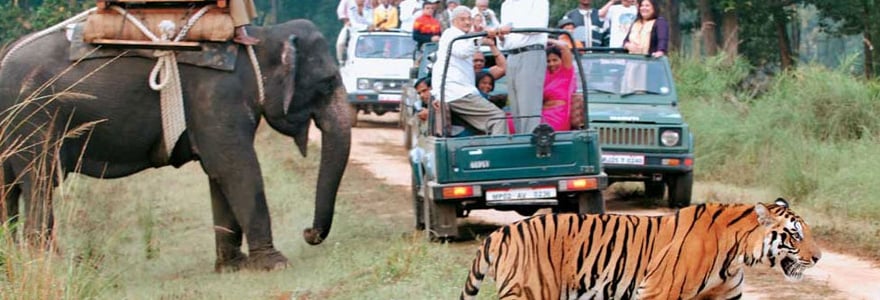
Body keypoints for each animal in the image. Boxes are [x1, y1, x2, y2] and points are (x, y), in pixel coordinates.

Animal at [0, 19, 350, 272]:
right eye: (328, 83)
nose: (308, 234)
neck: (260, 38)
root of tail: (6, 53)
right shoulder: (218, 96)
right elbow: (236, 168)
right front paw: (275, 265)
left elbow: (219, 173)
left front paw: (232, 267)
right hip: (36, 120)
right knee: (40, 181)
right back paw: (48, 265)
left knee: (9, 190)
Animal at [464, 198, 820, 298]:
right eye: (795, 235)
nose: (817, 257)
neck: (737, 255)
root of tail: (502, 232)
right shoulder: (658, 292)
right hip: (530, 293)